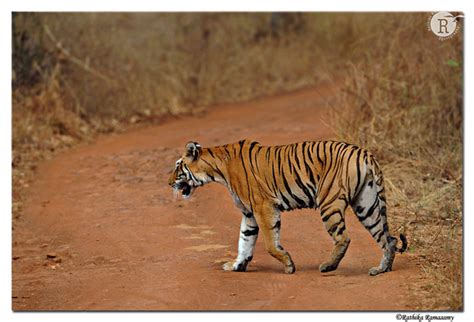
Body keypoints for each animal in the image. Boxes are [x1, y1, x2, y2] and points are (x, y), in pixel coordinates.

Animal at [168, 140, 408, 276]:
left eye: (178, 167)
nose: (169, 183)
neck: (217, 170)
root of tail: (365, 153)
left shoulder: (263, 207)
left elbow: (269, 244)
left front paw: (289, 265)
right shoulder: (249, 213)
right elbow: (244, 241)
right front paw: (237, 265)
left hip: (329, 203)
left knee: (344, 238)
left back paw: (328, 267)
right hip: (367, 205)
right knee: (388, 239)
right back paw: (381, 270)